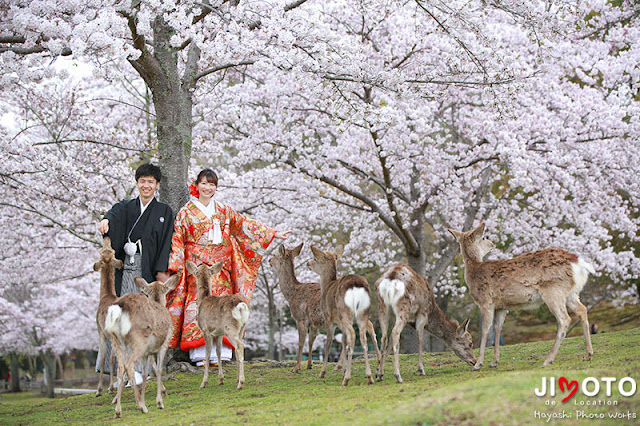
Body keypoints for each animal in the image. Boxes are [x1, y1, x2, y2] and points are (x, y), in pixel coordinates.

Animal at [105, 274, 179, 418]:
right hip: (139, 339)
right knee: (129, 366)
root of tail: (119, 309)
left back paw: (118, 410)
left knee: (120, 368)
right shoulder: (164, 343)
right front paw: (159, 402)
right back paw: (141, 406)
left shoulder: (147, 353)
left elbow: (145, 374)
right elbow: (158, 370)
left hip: (117, 341)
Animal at [185, 260, 250, 390]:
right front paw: (221, 379)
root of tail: (241, 306)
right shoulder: (219, 333)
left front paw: (204, 382)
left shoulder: (205, 330)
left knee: (239, 346)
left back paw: (240, 383)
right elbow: (218, 352)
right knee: (238, 348)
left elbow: (207, 353)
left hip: (230, 327)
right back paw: (238, 379)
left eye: (196, 272)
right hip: (241, 327)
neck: (203, 300)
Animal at [306, 243, 380, 386]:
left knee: (353, 335)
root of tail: (356, 286)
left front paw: (323, 372)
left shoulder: (329, 319)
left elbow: (329, 343)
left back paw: (347, 379)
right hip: (362, 313)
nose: (307, 263)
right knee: (363, 335)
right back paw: (370, 375)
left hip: (345, 313)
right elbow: (344, 340)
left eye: (316, 258)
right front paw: (344, 369)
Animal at [450, 223, 596, 370]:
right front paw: (494, 362)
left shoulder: (485, 301)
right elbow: (497, 329)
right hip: (571, 293)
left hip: (553, 291)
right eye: (485, 237)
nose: (492, 244)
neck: (473, 271)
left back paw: (548, 360)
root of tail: (578, 263)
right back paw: (588, 354)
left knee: (564, 319)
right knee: (582, 310)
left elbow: (485, 330)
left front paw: (478, 364)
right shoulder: (501, 306)